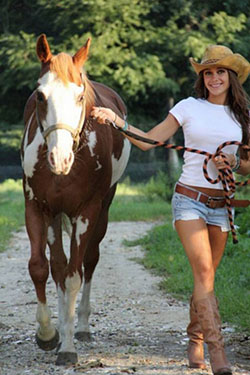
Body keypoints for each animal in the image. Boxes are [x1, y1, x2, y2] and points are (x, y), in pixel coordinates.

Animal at [21, 33, 131, 366]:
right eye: (41, 96)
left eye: (80, 97)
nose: (60, 158)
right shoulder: (38, 207)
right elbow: (41, 268)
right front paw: (48, 334)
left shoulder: (87, 212)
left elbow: (74, 276)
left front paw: (68, 347)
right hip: (57, 216)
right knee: (57, 266)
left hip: (102, 212)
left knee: (89, 262)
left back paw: (80, 327)